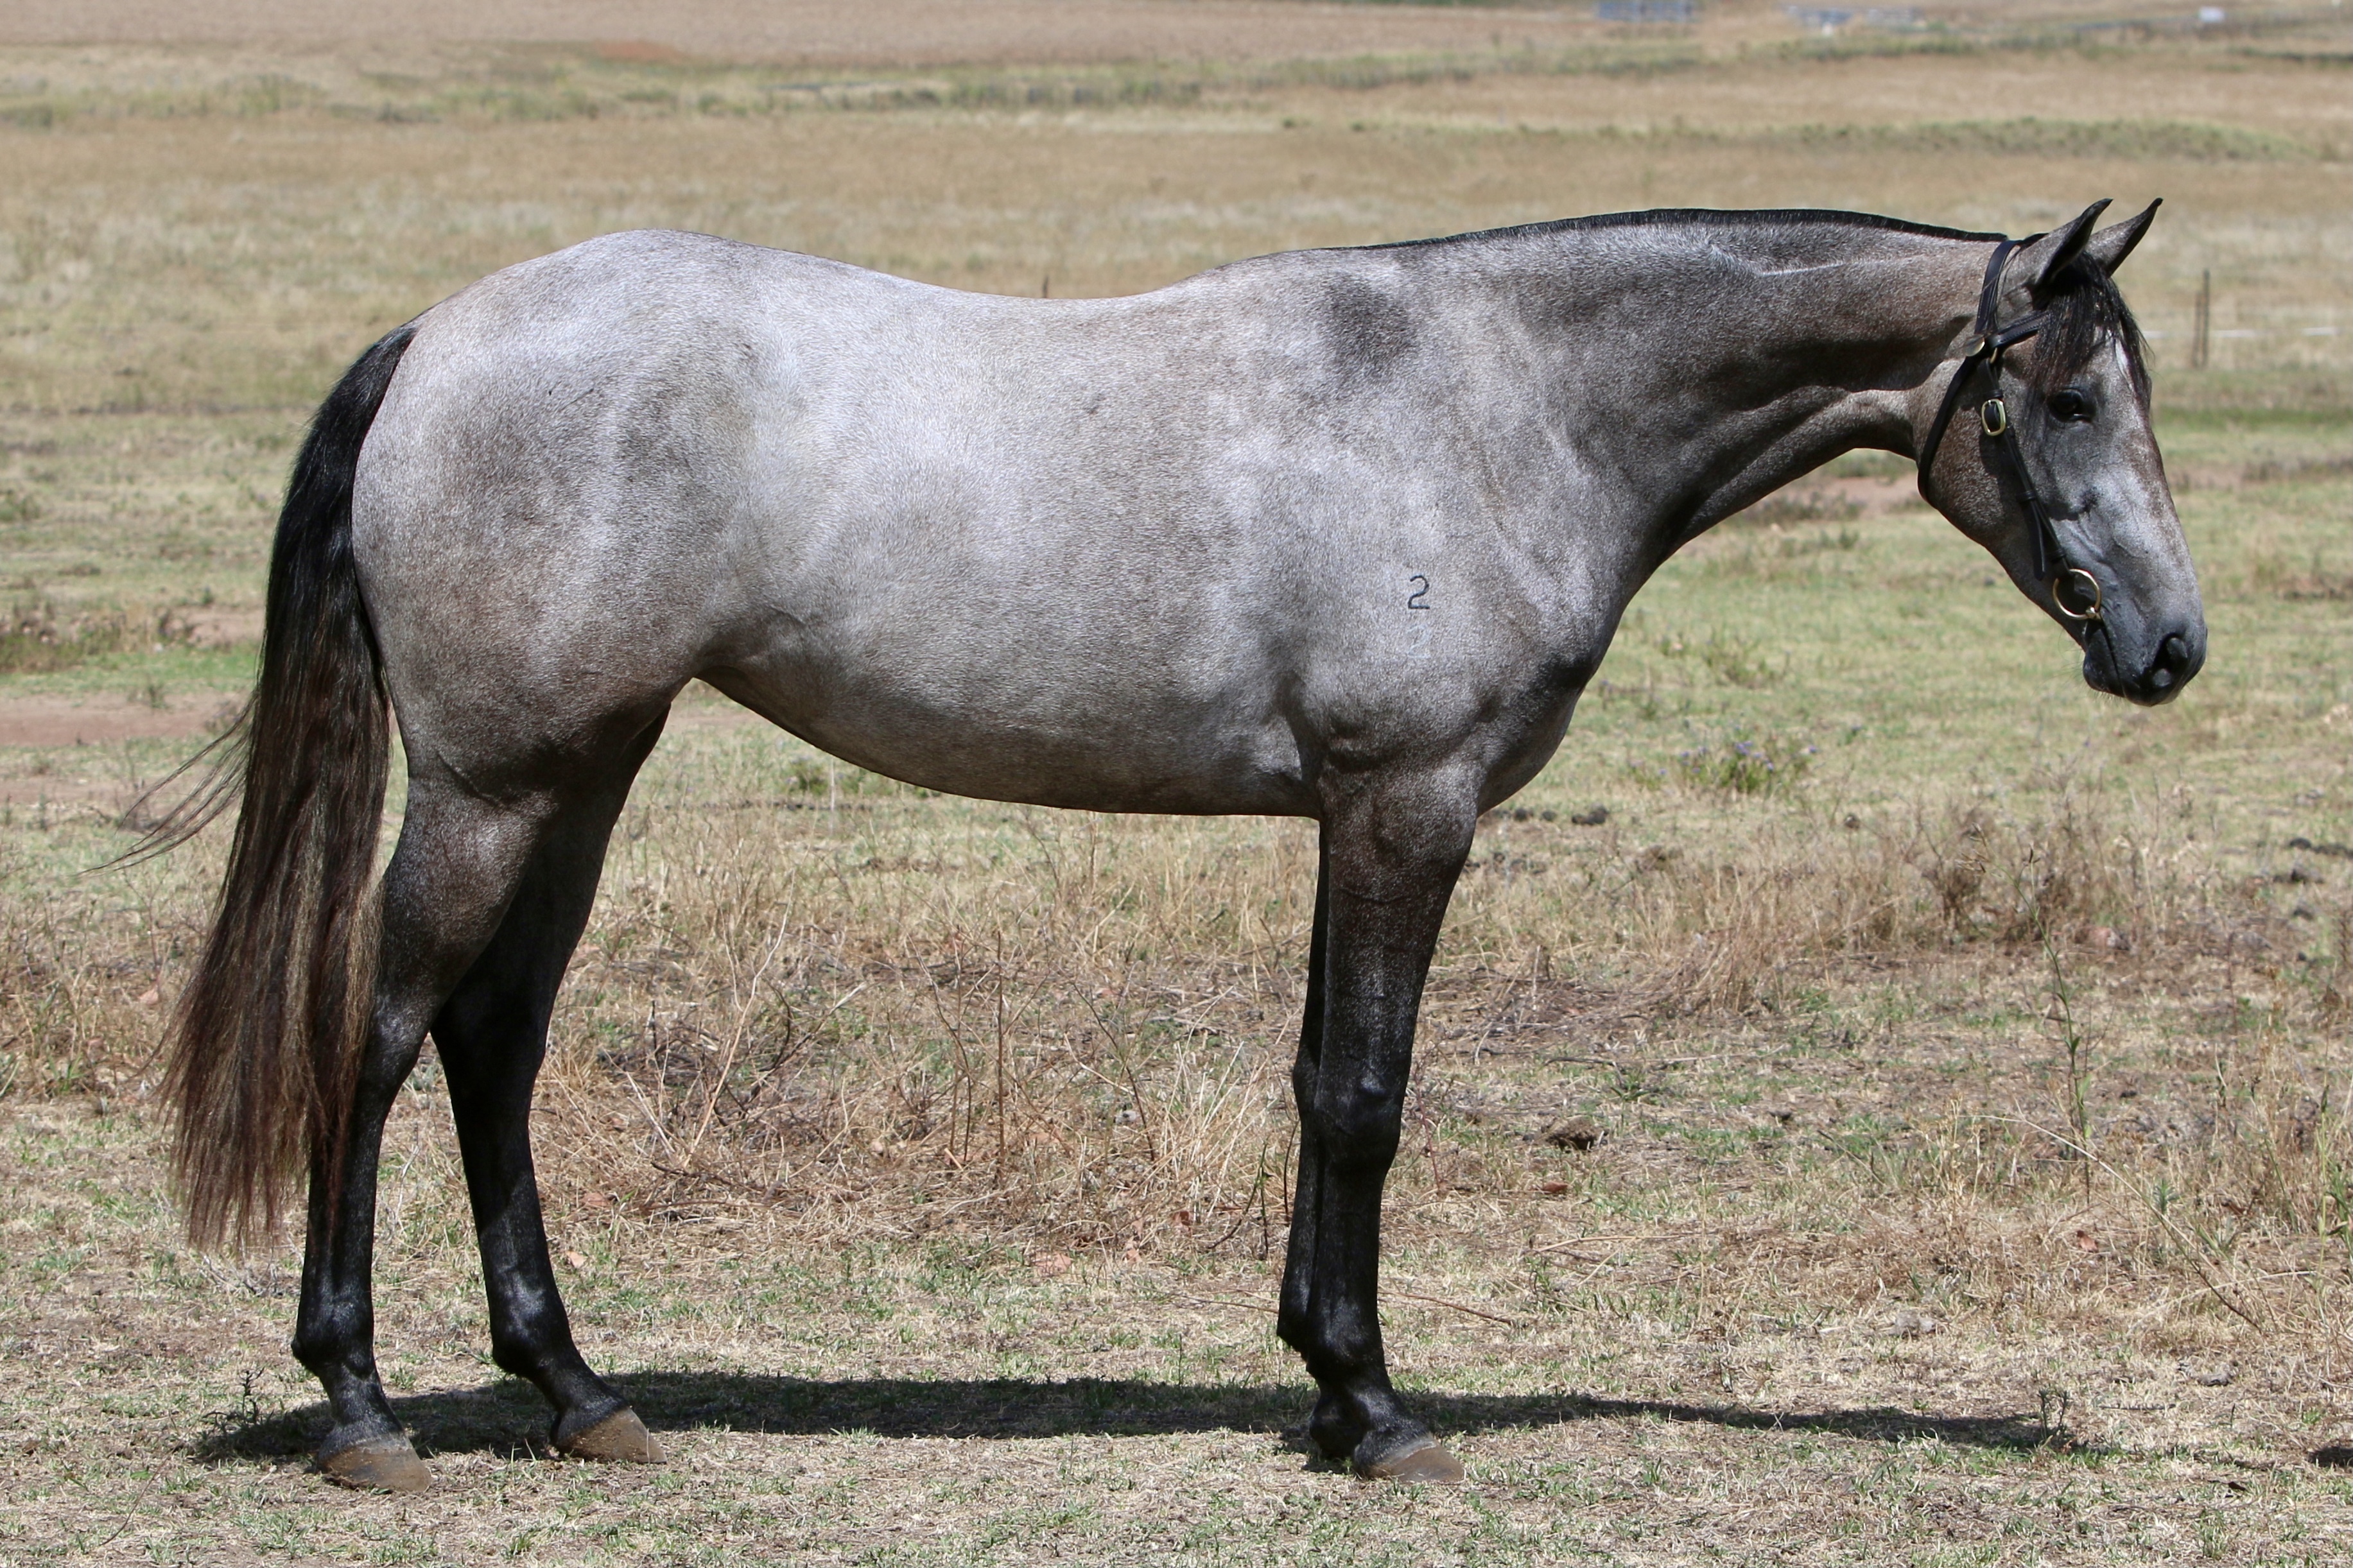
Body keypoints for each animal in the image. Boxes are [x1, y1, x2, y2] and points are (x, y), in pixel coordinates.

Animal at [145, 198, 2202, 1491]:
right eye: (2066, 399)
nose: (2169, 646)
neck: (1493, 401)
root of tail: (441, 336)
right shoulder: (1403, 806)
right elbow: (1363, 1094)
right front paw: (1375, 1408)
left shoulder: (1357, 820)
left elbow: (1315, 1082)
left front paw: (1322, 1381)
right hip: (493, 790)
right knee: (379, 1038)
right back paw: (359, 1409)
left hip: (582, 776)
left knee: (496, 1045)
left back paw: (580, 1395)